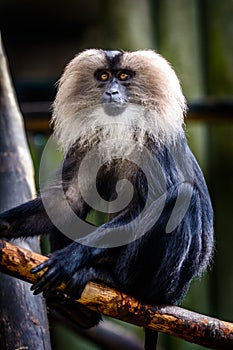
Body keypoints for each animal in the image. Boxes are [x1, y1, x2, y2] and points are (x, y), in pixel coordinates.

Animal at [0, 48, 214, 348]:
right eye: (103, 76)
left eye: (123, 77)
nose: (111, 91)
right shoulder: (86, 144)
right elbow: (67, 202)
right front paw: (1, 226)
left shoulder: (155, 146)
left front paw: (70, 257)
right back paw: (76, 311)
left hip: (167, 286)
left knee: (181, 196)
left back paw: (113, 281)